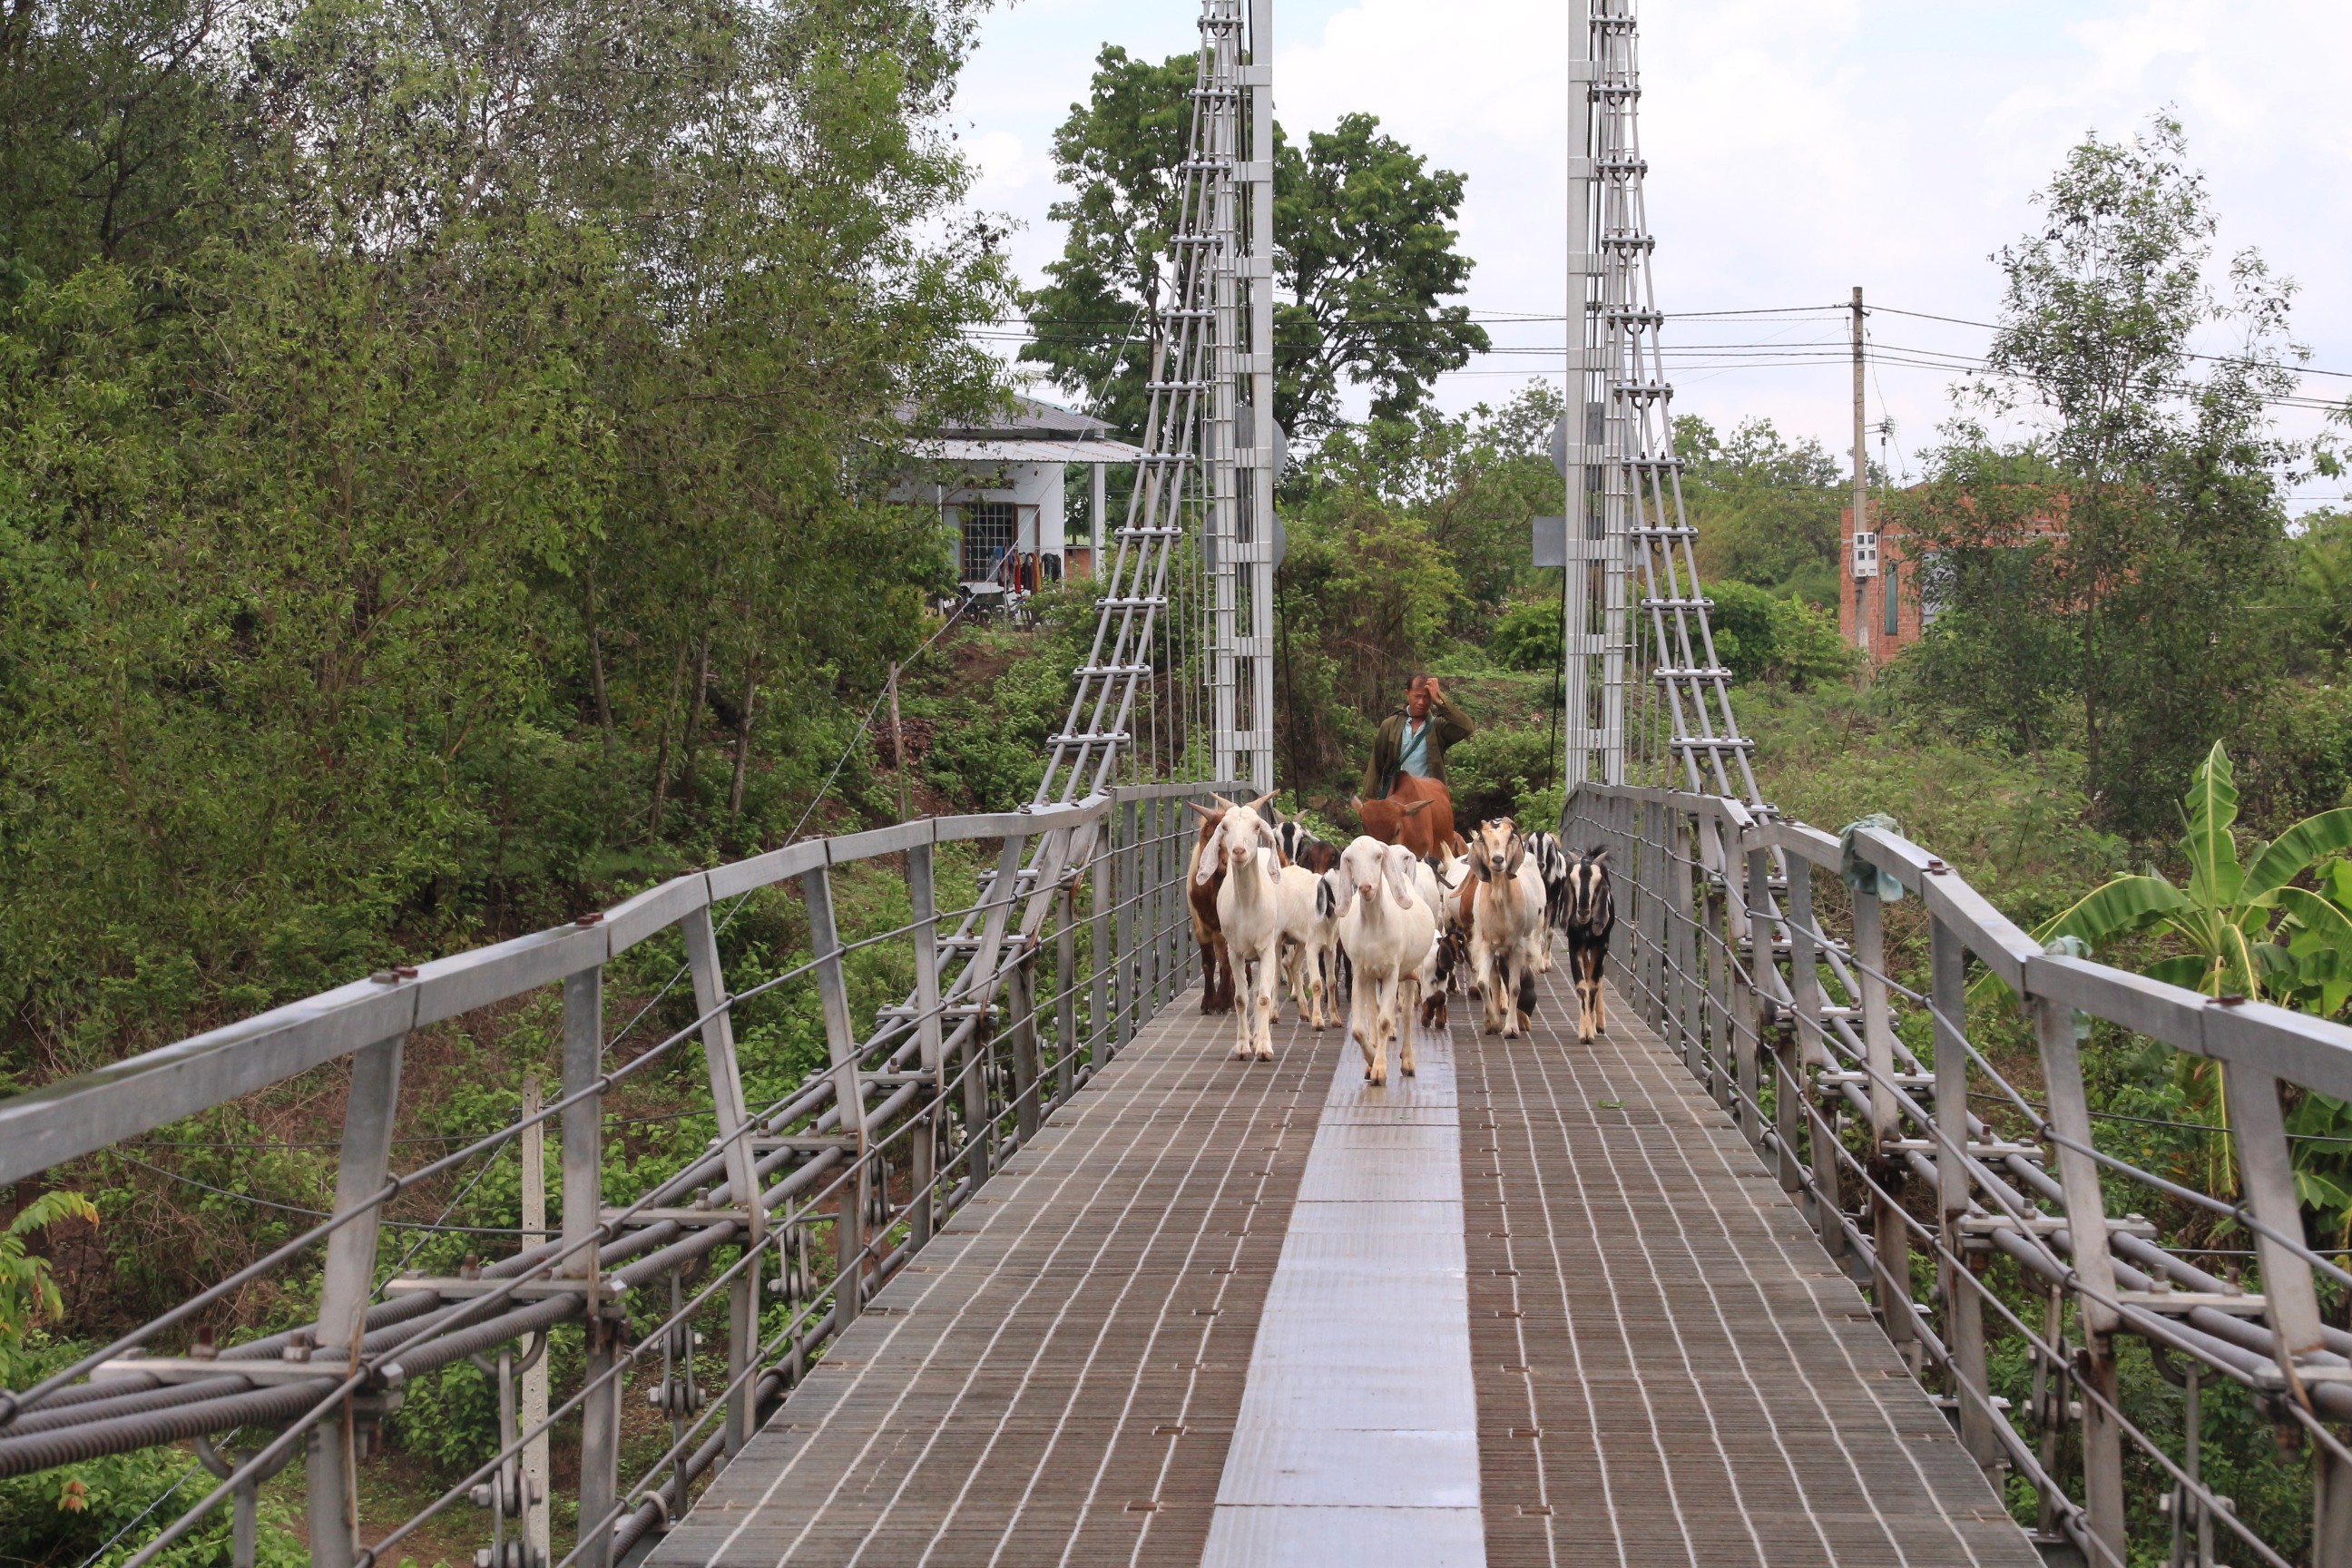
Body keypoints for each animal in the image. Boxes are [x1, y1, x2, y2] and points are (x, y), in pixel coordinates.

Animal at [1213, 804, 1289, 1062]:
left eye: (1256, 826)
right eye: (1225, 827)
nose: (1238, 851)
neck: (1247, 904)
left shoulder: (1266, 949)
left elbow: (1263, 997)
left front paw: (1264, 1047)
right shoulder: (1234, 952)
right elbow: (1240, 998)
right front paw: (1243, 1046)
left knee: (1265, 989)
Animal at [1345, 841, 1429, 1085]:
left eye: (1377, 857)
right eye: (1350, 860)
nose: (1365, 887)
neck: (1375, 925)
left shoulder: (1392, 972)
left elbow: (1385, 1021)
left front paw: (1380, 1070)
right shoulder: (1360, 972)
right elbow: (1360, 1028)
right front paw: (1371, 1060)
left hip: (1409, 972)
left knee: (1407, 1014)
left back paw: (1408, 1061)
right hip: (1373, 977)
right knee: (1373, 1012)